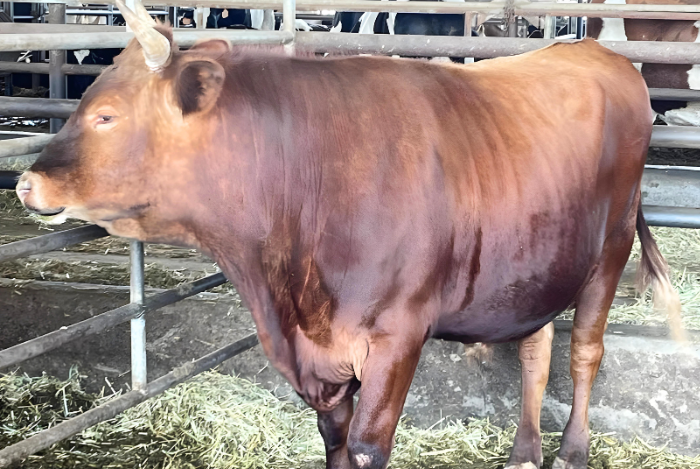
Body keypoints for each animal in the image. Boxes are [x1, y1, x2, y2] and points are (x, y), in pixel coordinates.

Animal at [16, 1, 683, 468]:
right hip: (538, 262)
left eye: (107, 116)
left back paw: (571, 450)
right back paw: (524, 451)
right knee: (536, 348)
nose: (25, 182)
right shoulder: (318, 359)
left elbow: (365, 447)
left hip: (610, 247)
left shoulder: (398, 336)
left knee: (585, 351)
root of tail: (594, 51)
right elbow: (333, 438)